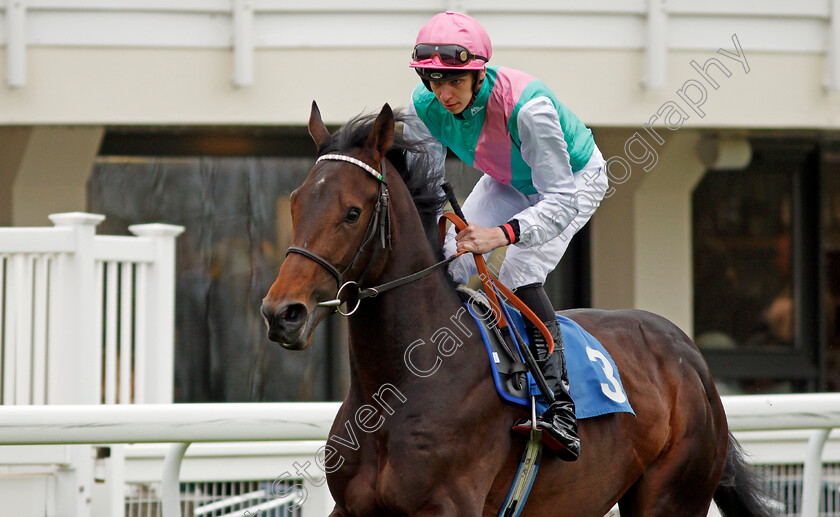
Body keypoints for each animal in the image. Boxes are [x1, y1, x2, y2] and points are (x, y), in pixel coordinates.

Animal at [260, 102, 772, 516]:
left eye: (351, 212)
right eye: (296, 202)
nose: (282, 313)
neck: (401, 384)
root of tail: (687, 352)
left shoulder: (447, 506)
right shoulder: (351, 508)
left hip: (673, 496)